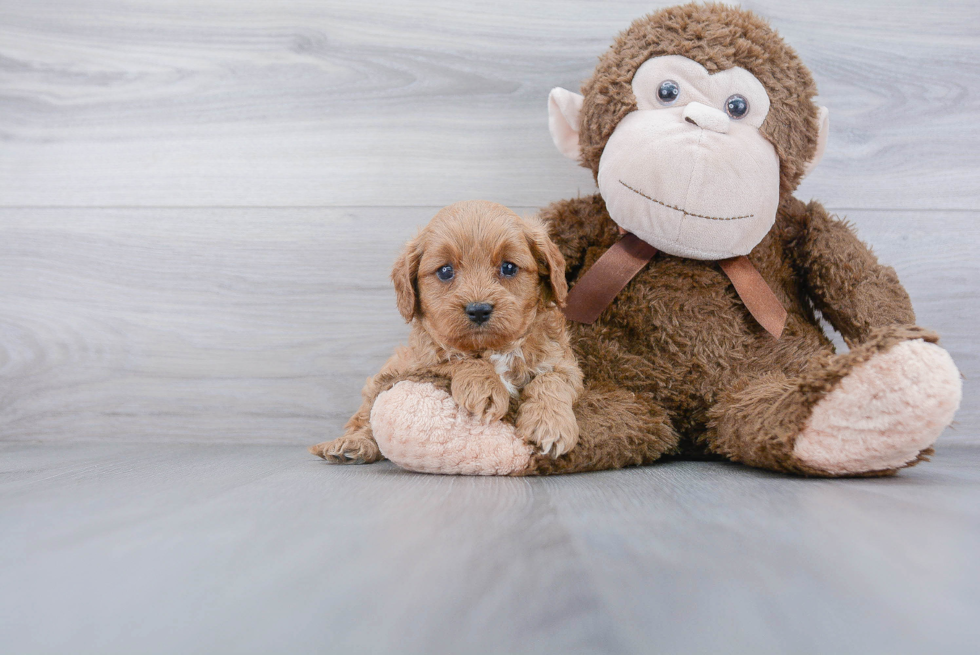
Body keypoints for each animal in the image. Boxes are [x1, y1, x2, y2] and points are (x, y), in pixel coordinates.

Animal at [310, 200, 580, 466]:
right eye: (445, 271)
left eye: (509, 267)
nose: (478, 310)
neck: (492, 349)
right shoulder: (419, 364)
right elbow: (456, 359)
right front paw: (484, 387)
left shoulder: (564, 363)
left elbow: (551, 379)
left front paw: (550, 424)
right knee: (365, 418)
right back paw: (352, 444)